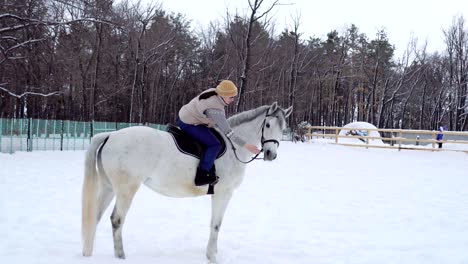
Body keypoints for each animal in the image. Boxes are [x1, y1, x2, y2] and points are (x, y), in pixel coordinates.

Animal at [82, 101, 290, 262]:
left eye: (283, 128)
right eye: (268, 125)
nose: (270, 154)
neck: (234, 148)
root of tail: (111, 135)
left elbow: (214, 224)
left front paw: (211, 253)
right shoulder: (223, 193)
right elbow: (216, 224)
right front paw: (212, 256)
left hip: (109, 188)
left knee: (96, 216)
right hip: (126, 190)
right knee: (116, 219)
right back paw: (121, 256)